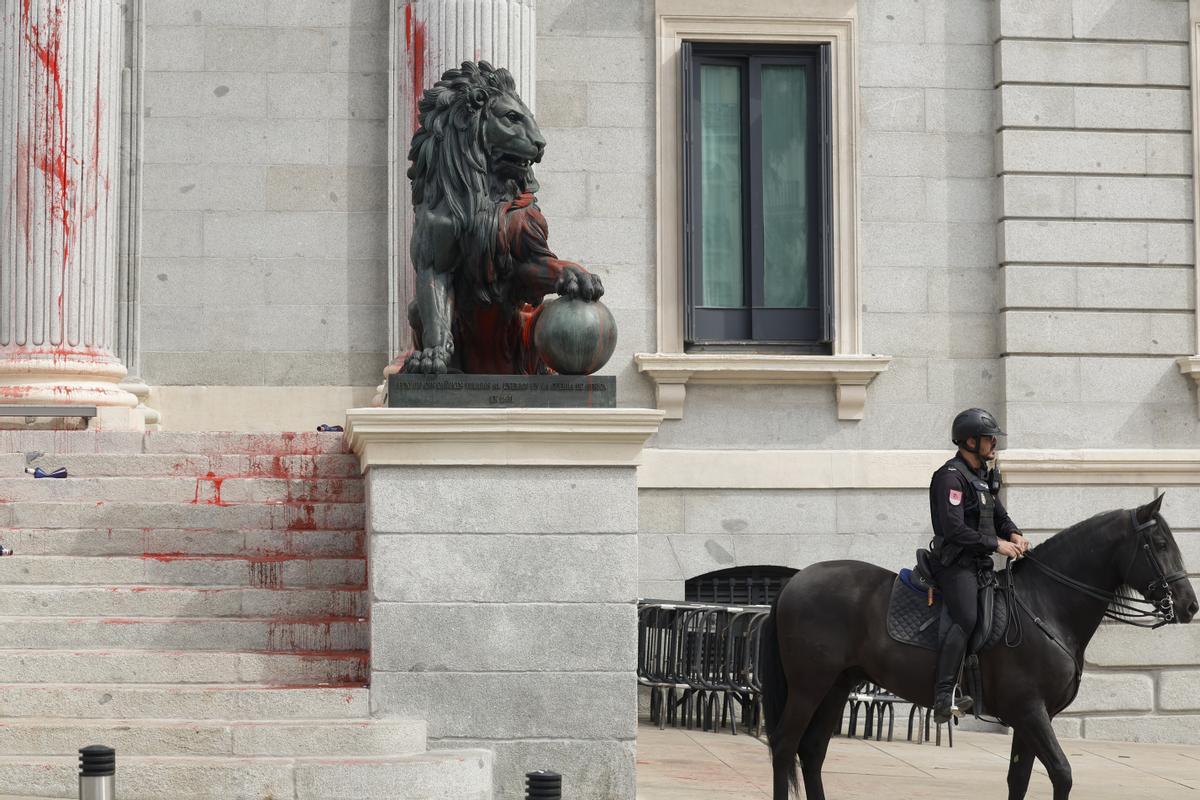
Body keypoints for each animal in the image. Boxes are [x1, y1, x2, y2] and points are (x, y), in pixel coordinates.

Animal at [763, 494, 1195, 800]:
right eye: (1159, 543)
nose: (1190, 605)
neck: (1044, 604)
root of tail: (793, 581)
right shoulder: (1030, 711)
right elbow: (1061, 774)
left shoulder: (1030, 719)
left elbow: (1019, 779)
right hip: (808, 686)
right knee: (785, 746)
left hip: (837, 685)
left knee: (812, 751)